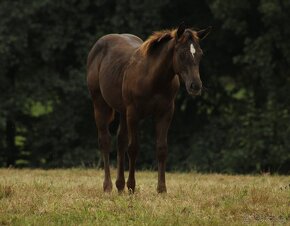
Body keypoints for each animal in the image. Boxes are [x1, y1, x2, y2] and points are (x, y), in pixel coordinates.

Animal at [86, 22, 211, 192]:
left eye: (200, 54)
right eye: (181, 54)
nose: (195, 86)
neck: (154, 79)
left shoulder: (165, 113)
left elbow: (162, 149)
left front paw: (162, 189)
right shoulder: (133, 113)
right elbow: (133, 148)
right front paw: (132, 187)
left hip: (123, 111)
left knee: (120, 141)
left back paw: (120, 186)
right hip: (100, 103)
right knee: (105, 140)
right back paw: (108, 186)